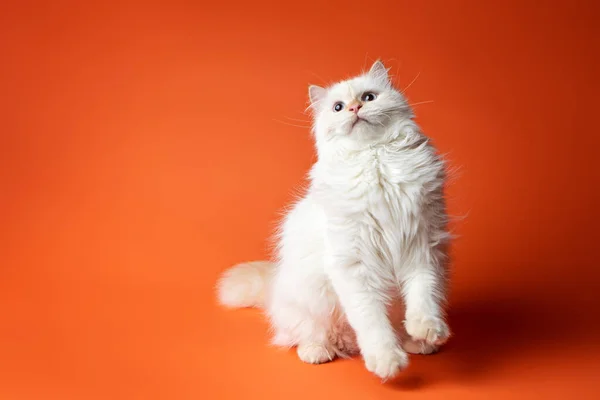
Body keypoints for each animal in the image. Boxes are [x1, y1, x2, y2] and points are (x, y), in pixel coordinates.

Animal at [217, 61, 450, 380]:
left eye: (368, 97)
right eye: (338, 107)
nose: (354, 108)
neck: (375, 160)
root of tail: (274, 285)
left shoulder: (423, 245)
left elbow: (423, 297)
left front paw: (427, 329)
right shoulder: (353, 263)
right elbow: (371, 321)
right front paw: (386, 360)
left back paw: (417, 343)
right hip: (307, 301)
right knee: (305, 336)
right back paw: (318, 352)